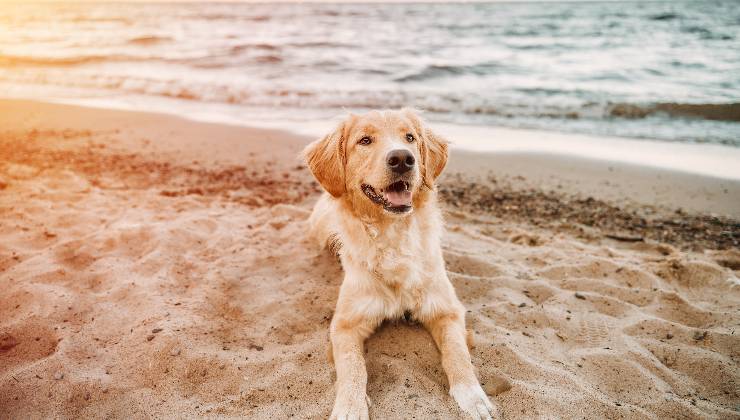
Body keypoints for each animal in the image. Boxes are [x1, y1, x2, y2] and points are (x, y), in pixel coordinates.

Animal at [300, 109, 498, 420]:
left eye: (410, 138)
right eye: (364, 140)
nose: (403, 159)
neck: (393, 235)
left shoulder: (447, 310)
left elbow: (458, 354)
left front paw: (472, 396)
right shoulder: (344, 324)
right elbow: (353, 367)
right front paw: (350, 406)